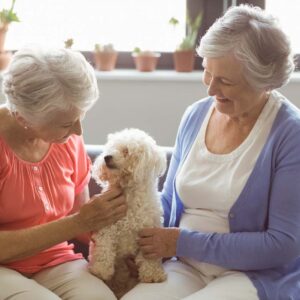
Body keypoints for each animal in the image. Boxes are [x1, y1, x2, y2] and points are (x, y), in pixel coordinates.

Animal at [89, 127, 168, 296]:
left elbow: (149, 258)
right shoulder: (107, 227)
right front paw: (100, 270)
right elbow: (104, 249)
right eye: (110, 148)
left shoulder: (149, 234)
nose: (106, 157)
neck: (129, 192)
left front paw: (153, 275)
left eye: (126, 151)